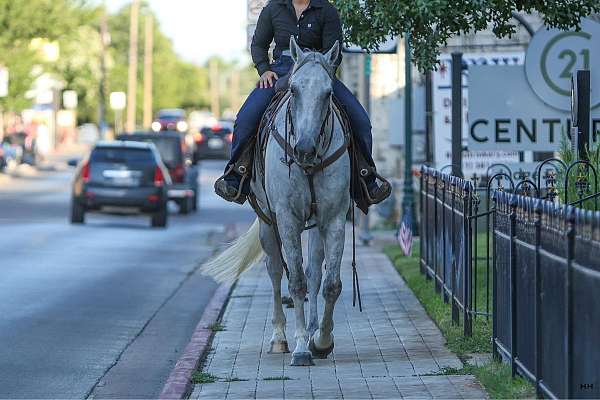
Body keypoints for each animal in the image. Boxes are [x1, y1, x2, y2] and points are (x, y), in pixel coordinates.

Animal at [204, 37, 350, 366]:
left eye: (329, 93)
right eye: (293, 90)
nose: (304, 149)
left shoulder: (334, 218)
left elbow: (330, 283)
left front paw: (321, 340)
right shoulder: (286, 218)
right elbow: (294, 281)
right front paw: (301, 348)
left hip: (316, 226)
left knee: (314, 271)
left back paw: (312, 329)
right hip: (267, 224)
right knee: (274, 271)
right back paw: (280, 338)